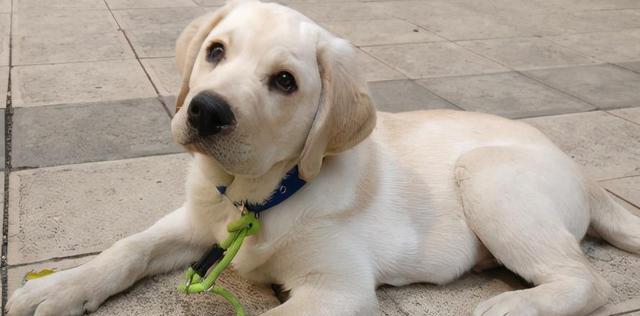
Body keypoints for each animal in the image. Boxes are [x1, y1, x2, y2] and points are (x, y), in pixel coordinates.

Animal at [8, 0, 640, 316]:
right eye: (215, 51)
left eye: (285, 81)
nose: (206, 111)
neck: (255, 198)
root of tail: (584, 174)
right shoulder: (194, 221)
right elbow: (128, 248)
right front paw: (59, 286)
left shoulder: (337, 287)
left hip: (486, 176)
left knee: (589, 281)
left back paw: (514, 307)